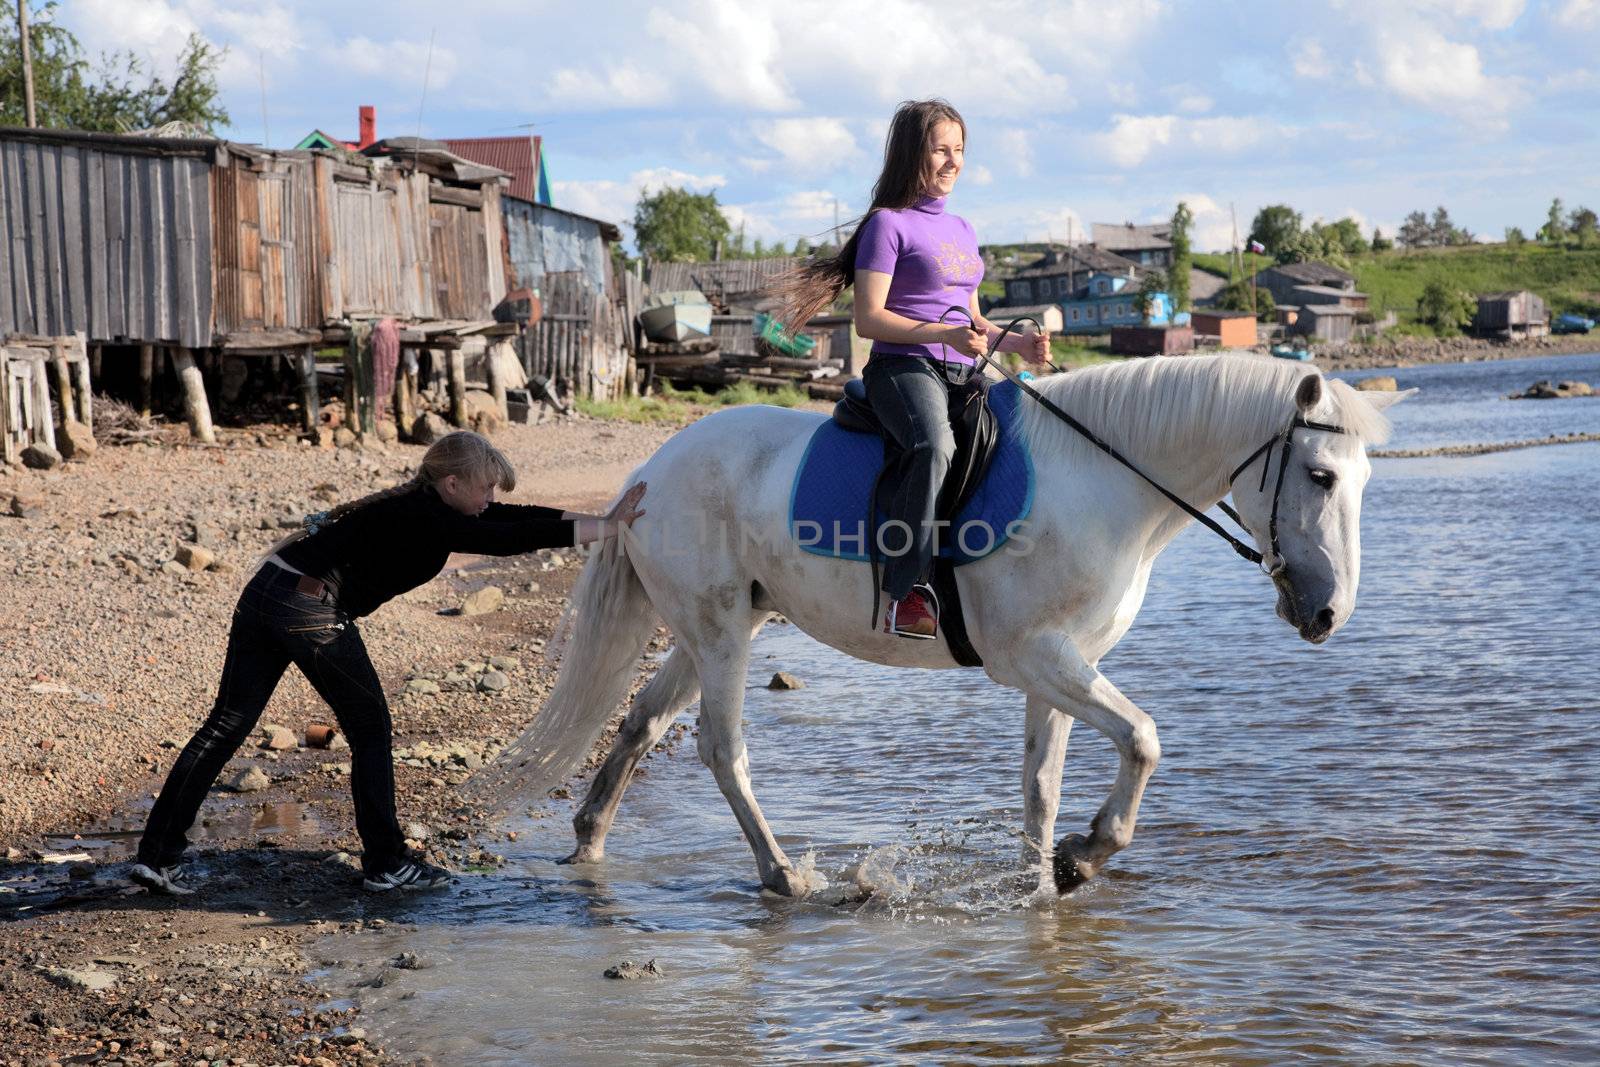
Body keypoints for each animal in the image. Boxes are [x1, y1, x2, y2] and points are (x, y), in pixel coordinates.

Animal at [483, 355, 1401, 895]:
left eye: (1362, 482)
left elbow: (1040, 783)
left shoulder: (1064, 662)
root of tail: (648, 469)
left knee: (641, 722)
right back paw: (782, 874)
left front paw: (1045, 880)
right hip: (720, 634)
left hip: (714, 626)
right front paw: (1088, 850)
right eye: (1321, 476)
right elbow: (1143, 738)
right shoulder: (1032, 656)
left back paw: (590, 840)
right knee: (720, 746)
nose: (1327, 612)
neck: (1102, 478)